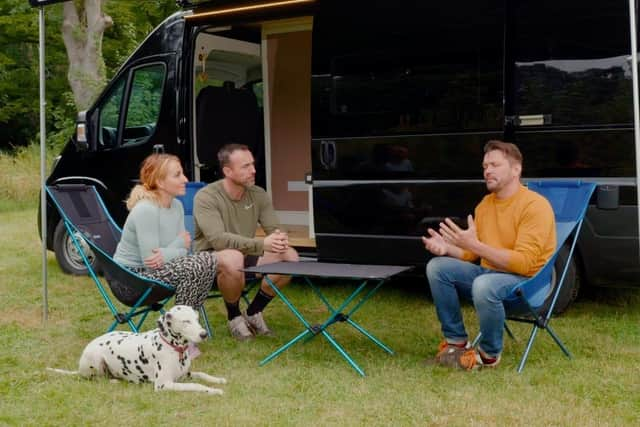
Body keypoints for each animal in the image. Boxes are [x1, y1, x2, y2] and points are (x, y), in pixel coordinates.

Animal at [45, 308, 225, 394]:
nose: (204, 334)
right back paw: (114, 381)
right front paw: (213, 390)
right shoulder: (164, 385)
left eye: (196, 319)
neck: (174, 348)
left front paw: (218, 380)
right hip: (95, 360)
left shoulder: (185, 375)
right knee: (96, 379)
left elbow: (202, 375)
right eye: (186, 321)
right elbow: (196, 385)